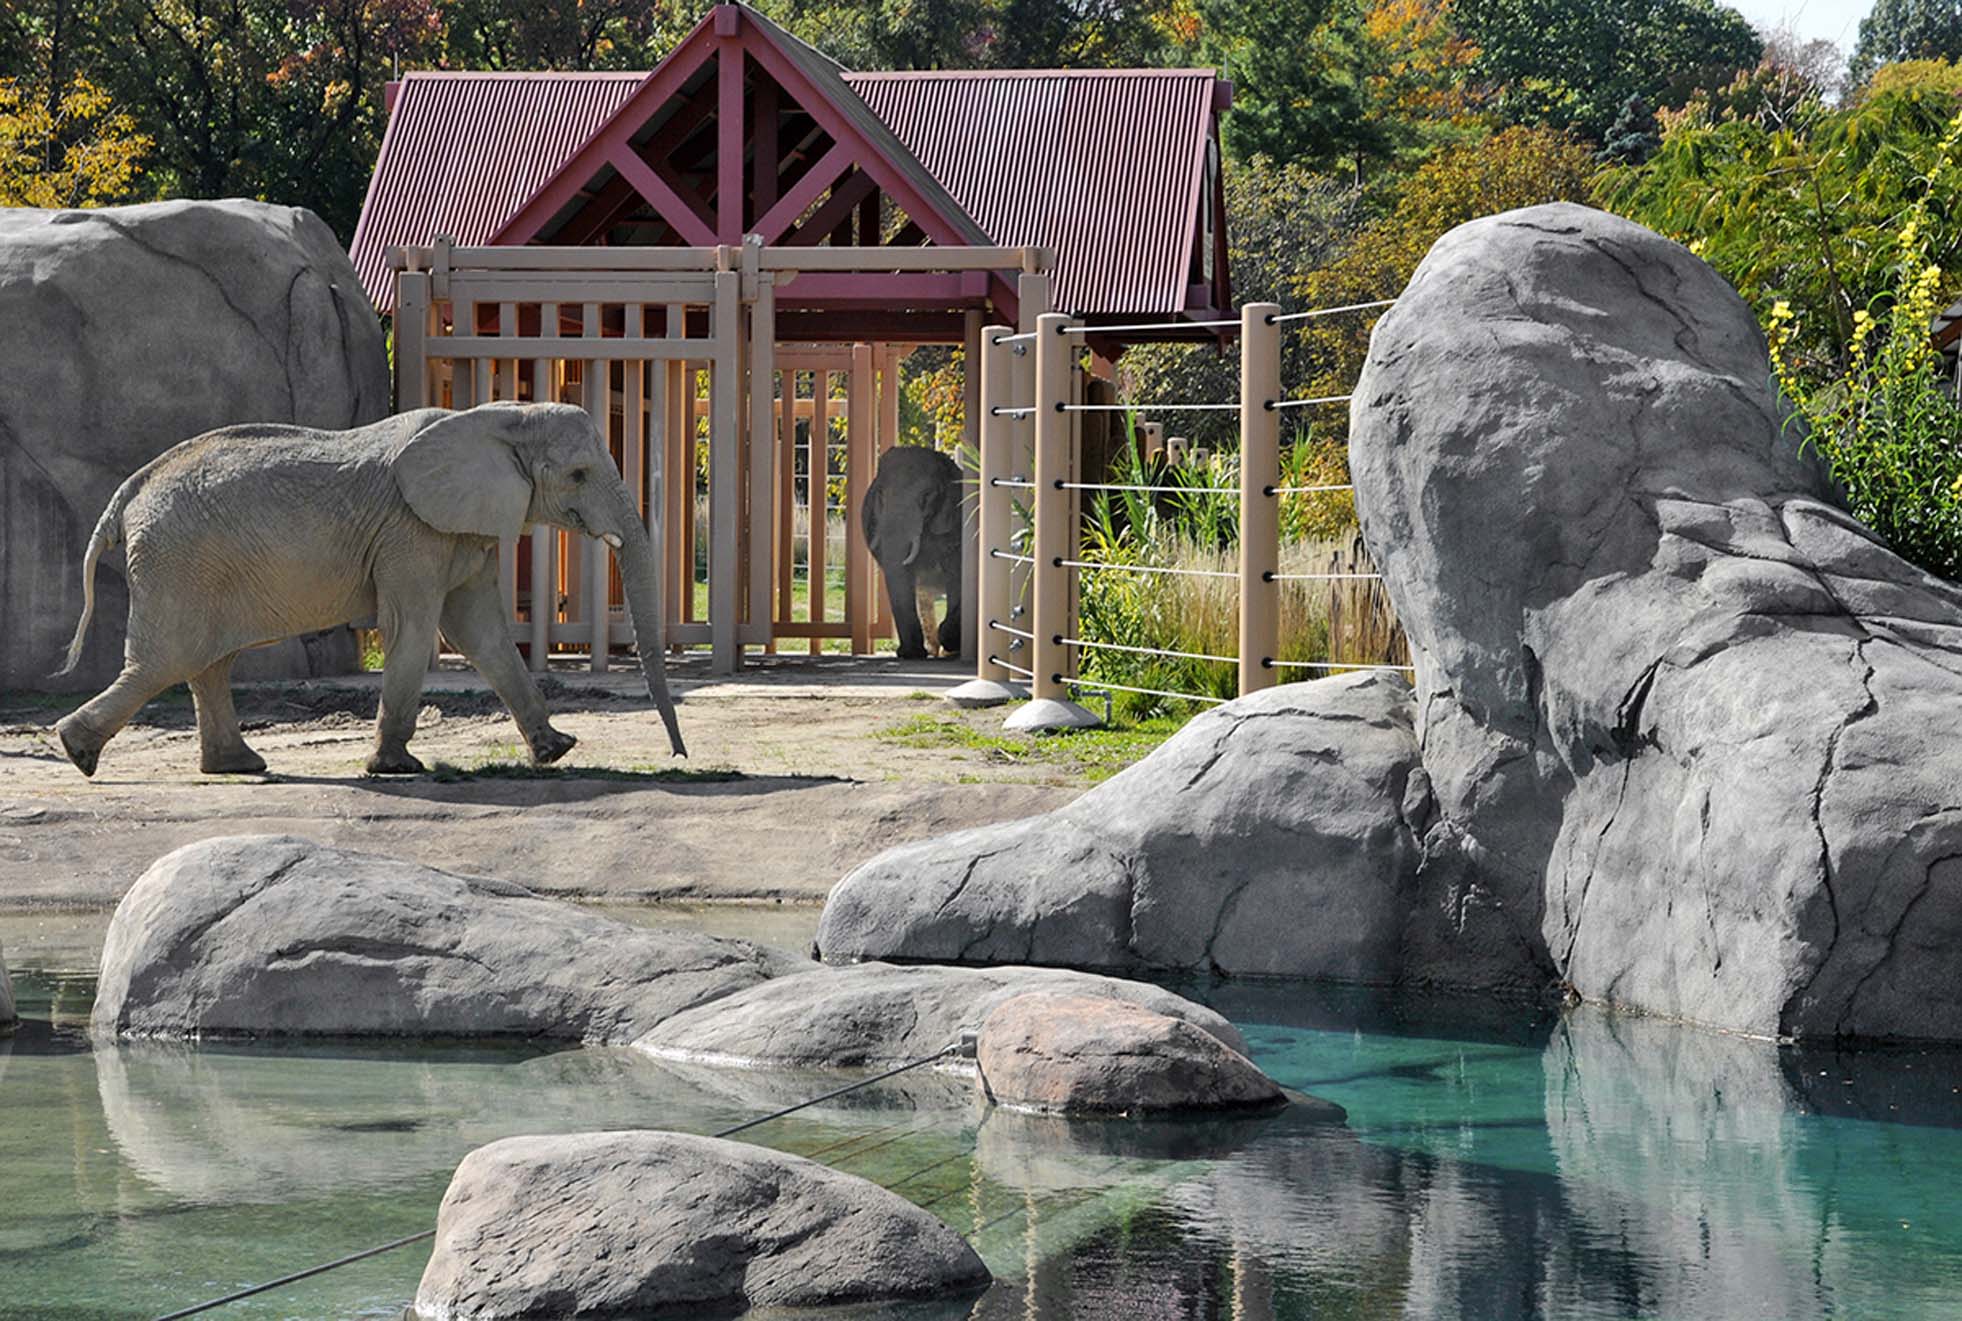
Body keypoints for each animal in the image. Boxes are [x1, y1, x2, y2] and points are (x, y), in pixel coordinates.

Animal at [52, 402, 685, 777]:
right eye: (577, 474)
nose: (678, 756)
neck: (498, 416)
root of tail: (129, 492)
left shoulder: (460, 529)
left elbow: (481, 632)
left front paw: (556, 751)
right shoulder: (411, 531)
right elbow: (415, 626)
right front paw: (397, 768)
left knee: (206, 663)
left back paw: (238, 766)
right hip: (179, 560)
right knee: (166, 661)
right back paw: (76, 752)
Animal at [861, 446, 964, 660]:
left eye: (927, 496)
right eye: (880, 495)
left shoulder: (955, 526)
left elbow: (956, 575)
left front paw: (948, 639)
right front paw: (911, 654)